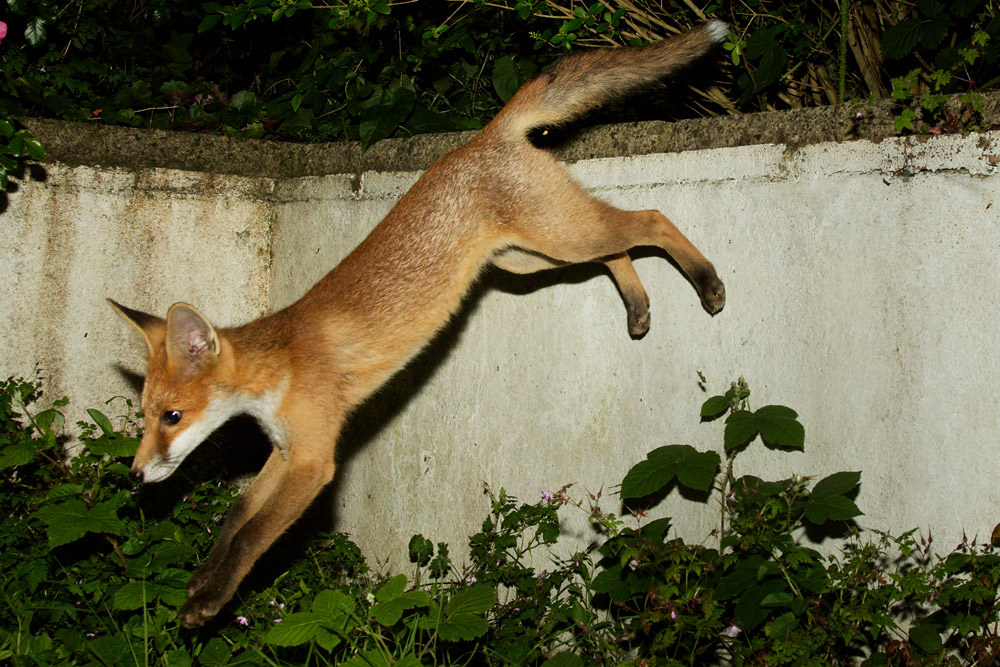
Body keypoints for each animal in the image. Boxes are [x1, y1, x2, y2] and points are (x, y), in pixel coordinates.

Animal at [109, 20, 728, 629]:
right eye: (145, 415)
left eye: (171, 416)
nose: (134, 477)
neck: (275, 371)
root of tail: (479, 137)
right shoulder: (284, 452)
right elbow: (235, 516)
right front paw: (200, 582)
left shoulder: (312, 461)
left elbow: (252, 537)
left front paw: (210, 601)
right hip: (533, 256)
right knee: (619, 248)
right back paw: (638, 305)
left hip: (559, 237)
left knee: (652, 218)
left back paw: (707, 281)